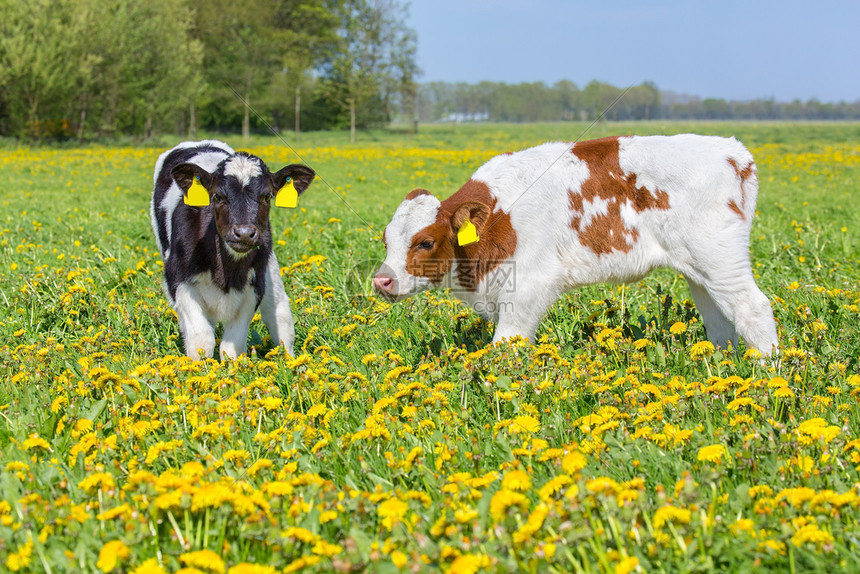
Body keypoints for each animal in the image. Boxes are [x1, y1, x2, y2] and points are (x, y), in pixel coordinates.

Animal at [151, 140, 316, 360]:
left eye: (267, 196)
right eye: (218, 196)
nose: (244, 233)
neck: (227, 272)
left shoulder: (255, 286)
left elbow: (231, 348)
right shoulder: (178, 281)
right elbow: (201, 341)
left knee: (281, 320)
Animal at [374, 135, 780, 356]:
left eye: (426, 242)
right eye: (385, 238)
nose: (382, 281)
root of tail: (732, 151)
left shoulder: (529, 286)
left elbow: (507, 344)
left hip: (720, 260)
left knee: (754, 308)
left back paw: (768, 376)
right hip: (699, 269)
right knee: (720, 319)